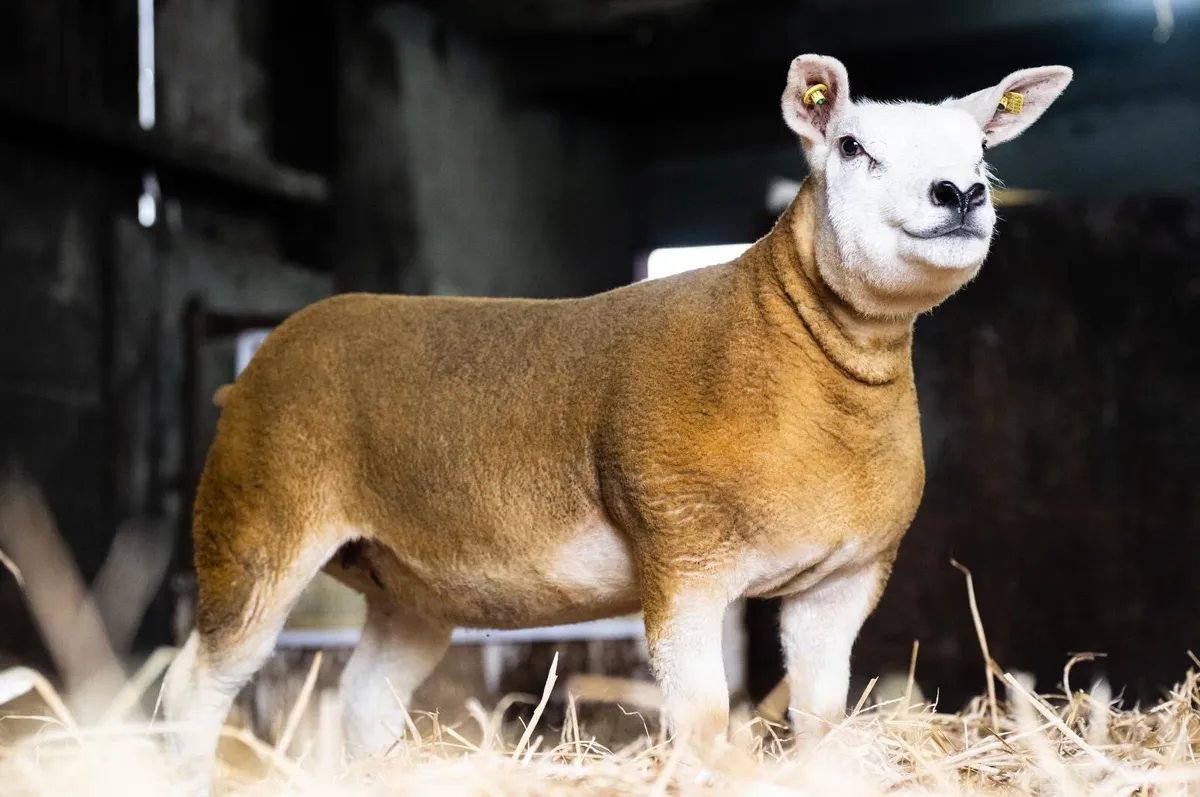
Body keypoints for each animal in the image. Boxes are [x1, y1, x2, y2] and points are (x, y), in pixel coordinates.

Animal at [161, 53, 1072, 788]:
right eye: (851, 146)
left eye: (983, 151)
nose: (962, 194)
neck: (799, 356)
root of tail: (251, 371)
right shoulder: (684, 552)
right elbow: (702, 717)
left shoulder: (844, 579)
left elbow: (820, 716)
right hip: (254, 522)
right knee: (192, 685)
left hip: (405, 580)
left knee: (363, 697)